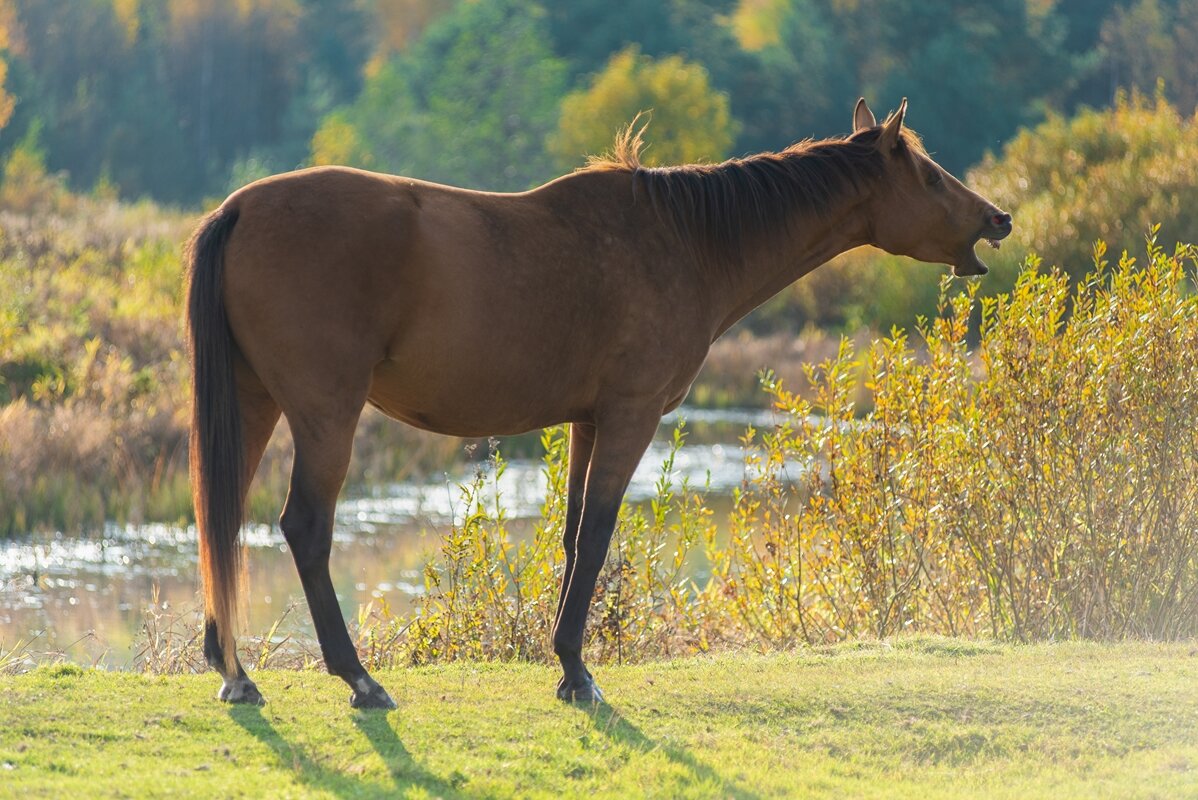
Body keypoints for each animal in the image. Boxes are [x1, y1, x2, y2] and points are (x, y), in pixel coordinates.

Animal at [186, 98, 1011, 704]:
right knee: (305, 527)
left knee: (220, 514)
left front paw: (564, 660)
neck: (683, 240)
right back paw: (357, 678)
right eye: (930, 176)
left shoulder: (585, 422)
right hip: (327, 414)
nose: (998, 218)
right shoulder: (628, 417)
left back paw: (234, 671)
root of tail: (241, 209)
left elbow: (572, 534)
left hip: (256, 403)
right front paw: (577, 671)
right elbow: (599, 537)